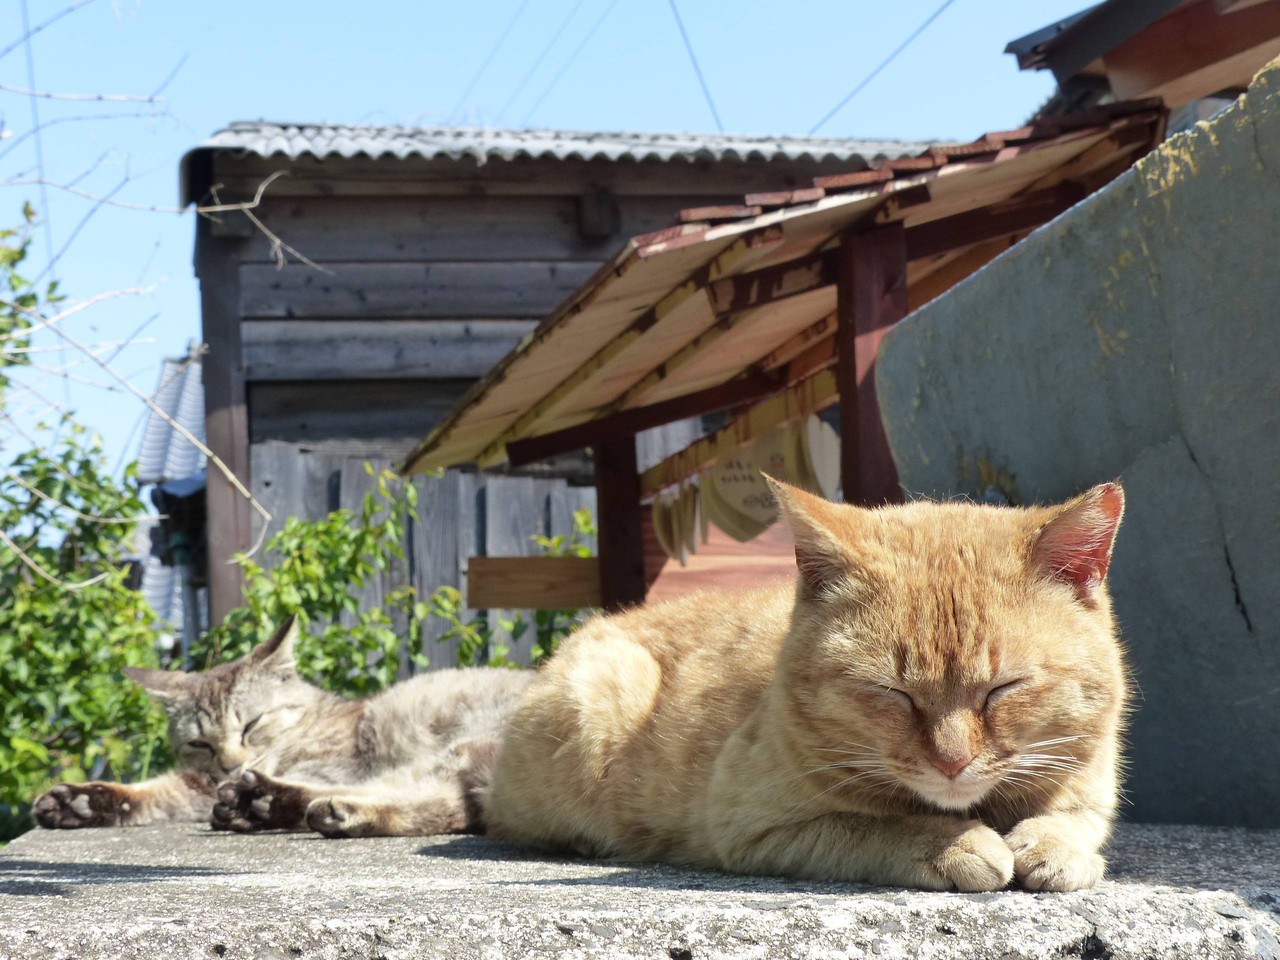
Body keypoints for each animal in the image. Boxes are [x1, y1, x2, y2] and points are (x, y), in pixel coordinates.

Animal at [32, 615, 533, 838]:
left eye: (251, 725)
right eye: (200, 743)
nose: (230, 764)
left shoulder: (333, 764)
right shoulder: (198, 780)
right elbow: (160, 792)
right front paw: (81, 801)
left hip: (458, 748)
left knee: (442, 805)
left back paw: (275, 802)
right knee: (455, 808)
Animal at [485, 479, 1129, 892]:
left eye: (1003, 688)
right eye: (894, 692)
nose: (951, 763)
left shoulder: (1087, 785)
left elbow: (1073, 820)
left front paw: (1055, 846)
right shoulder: (755, 826)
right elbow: (877, 825)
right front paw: (955, 843)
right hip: (606, 687)